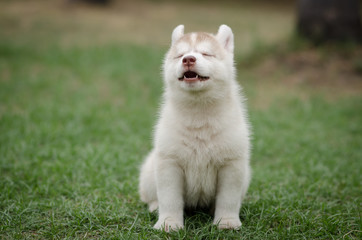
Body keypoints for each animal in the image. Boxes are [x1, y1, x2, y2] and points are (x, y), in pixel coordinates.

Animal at [139, 25, 252, 232]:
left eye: (206, 53)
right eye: (180, 55)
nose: (188, 59)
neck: (199, 111)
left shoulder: (231, 165)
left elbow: (228, 199)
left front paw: (227, 222)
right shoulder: (169, 163)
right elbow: (170, 199)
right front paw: (169, 223)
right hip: (150, 171)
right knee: (150, 196)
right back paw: (154, 206)